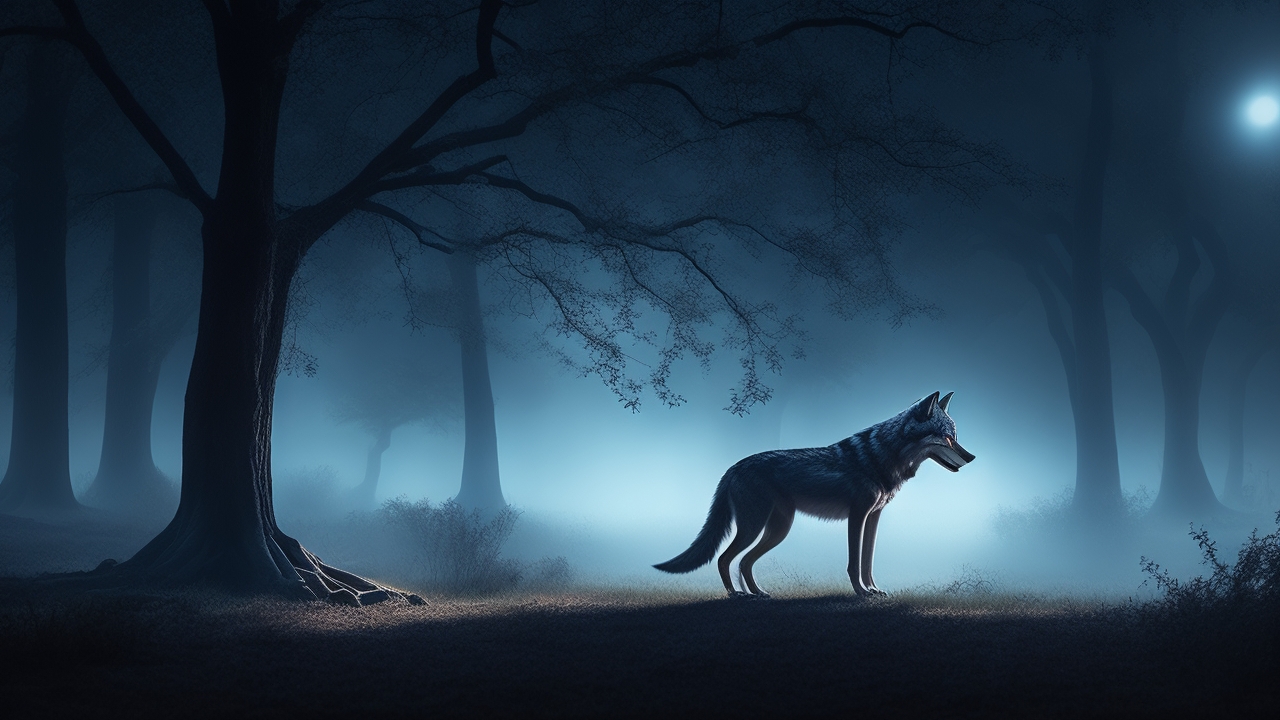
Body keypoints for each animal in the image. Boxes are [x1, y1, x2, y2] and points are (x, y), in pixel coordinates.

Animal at [654, 391, 974, 597]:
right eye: (947, 438)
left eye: (955, 437)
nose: (971, 457)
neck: (883, 457)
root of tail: (732, 467)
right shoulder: (857, 517)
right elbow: (854, 563)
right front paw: (861, 593)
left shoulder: (873, 518)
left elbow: (868, 561)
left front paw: (873, 589)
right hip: (754, 528)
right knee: (724, 559)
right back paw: (737, 595)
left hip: (777, 530)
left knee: (744, 562)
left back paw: (758, 593)